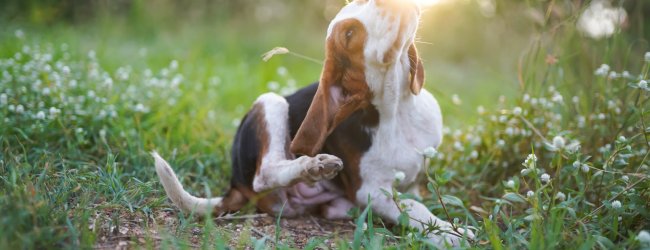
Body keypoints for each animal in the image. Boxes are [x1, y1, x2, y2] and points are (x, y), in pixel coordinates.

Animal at [154, 0, 474, 246]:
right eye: (349, 33)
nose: (389, 2)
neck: (397, 111)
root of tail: (235, 182)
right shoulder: (371, 190)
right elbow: (411, 206)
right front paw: (449, 233)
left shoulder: (411, 180)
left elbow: (414, 196)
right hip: (271, 101)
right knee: (265, 174)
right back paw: (313, 165)